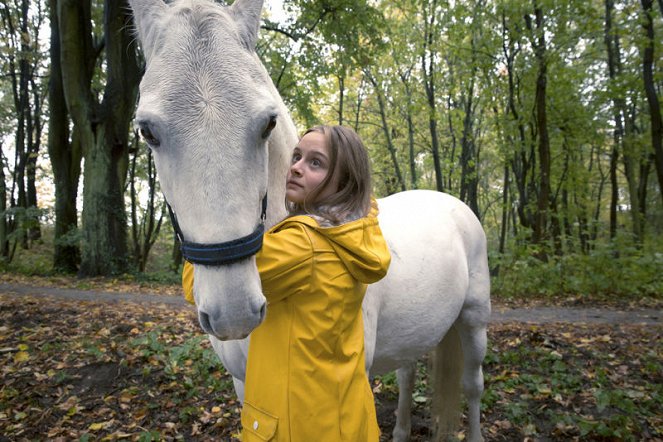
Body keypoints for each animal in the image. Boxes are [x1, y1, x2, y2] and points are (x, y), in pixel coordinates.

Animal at [131, 1, 492, 440]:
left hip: (474, 323)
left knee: (472, 386)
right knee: (408, 375)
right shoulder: (244, 385)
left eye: (268, 122)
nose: (234, 310)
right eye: (147, 131)